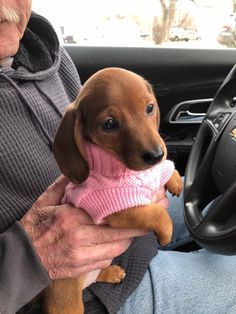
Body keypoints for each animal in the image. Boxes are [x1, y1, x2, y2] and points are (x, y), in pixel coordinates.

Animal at [42, 67, 183, 312]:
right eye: (109, 124)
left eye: (149, 108)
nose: (156, 155)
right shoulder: (119, 210)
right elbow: (156, 213)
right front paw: (165, 233)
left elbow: (165, 170)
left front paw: (174, 180)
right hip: (68, 304)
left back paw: (111, 272)